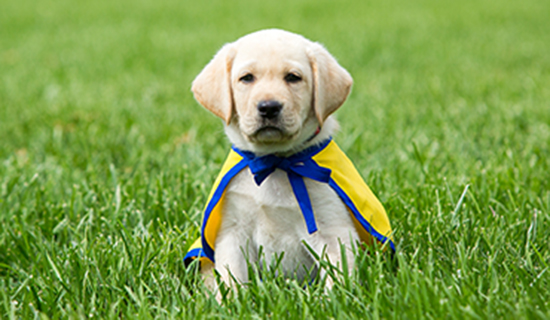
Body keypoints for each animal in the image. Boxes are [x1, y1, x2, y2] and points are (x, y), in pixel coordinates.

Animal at [187, 29, 396, 290]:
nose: (269, 107)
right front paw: (230, 299)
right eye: (246, 78)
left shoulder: (333, 230)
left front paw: (333, 298)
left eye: (293, 78)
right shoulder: (232, 232)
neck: (274, 162)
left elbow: (338, 278)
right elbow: (232, 277)